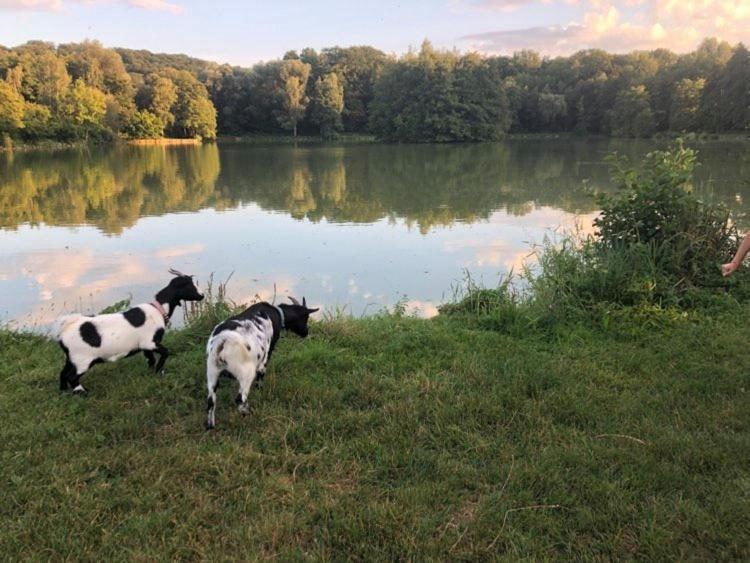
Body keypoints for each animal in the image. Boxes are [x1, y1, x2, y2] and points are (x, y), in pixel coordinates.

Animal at [55, 270, 206, 394]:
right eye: (190, 285)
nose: (202, 295)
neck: (159, 309)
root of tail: (65, 330)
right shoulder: (150, 342)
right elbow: (165, 352)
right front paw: (159, 370)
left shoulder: (144, 346)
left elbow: (150, 359)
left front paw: (152, 373)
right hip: (83, 360)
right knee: (72, 377)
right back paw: (82, 392)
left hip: (71, 358)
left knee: (63, 373)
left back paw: (63, 391)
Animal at [207, 298, 318, 430]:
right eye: (305, 317)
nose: (306, 333)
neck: (277, 313)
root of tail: (222, 342)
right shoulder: (265, 357)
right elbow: (261, 376)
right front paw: (260, 392)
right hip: (246, 373)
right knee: (240, 399)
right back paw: (249, 414)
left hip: (212, 372)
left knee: (211, 401)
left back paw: (210, 426)